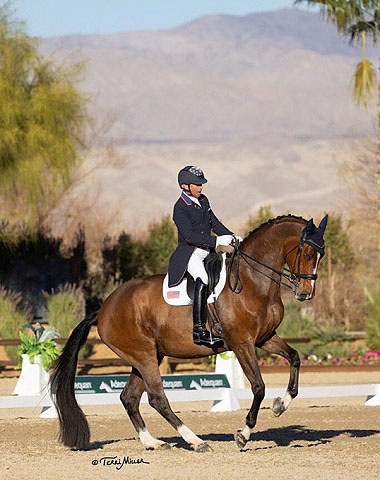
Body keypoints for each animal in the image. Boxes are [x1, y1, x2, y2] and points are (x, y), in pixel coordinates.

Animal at [52, 215, 328, 454]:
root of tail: (104, 308)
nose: (305, 293)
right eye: (306, 253)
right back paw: (195, 441)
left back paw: (153, 442)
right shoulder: (242, 343)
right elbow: (259, 387)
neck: (252, 282)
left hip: (146, 356)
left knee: (129, 397)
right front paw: (243, 434)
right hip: (144, 356)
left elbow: (294, 358)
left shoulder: (264, 338)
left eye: (320, 255)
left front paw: (281, 405)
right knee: (157, 398)